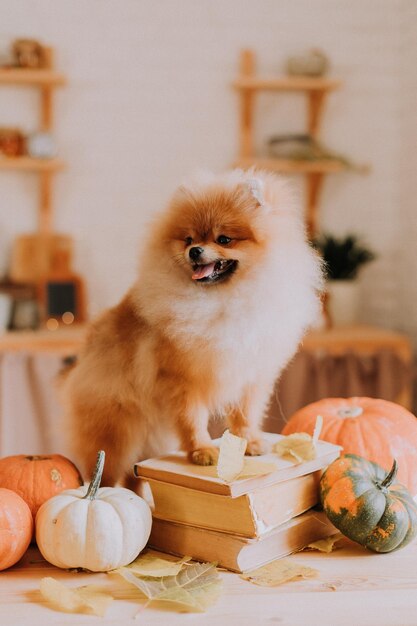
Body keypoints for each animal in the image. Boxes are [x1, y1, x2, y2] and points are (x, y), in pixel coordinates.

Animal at [62, 168, 322, 486]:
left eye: (224, 239)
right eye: (188, 239)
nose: (195, 251)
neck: (224, 300)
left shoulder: (249, 373)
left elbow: (245, 414)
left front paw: (249, 442)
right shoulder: (182, 379)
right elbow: (192, 418)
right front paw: (202, 451)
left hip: (148, 436)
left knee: (135, 475)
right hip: (116, 428)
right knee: (108, 471)